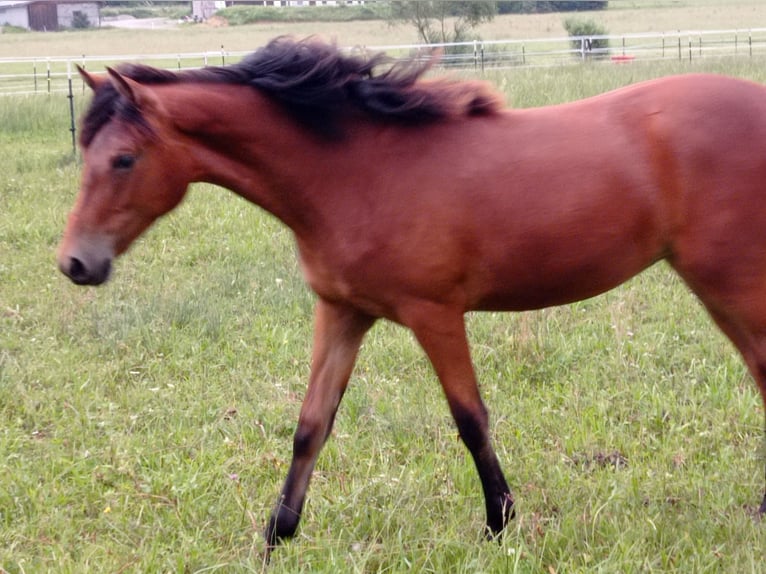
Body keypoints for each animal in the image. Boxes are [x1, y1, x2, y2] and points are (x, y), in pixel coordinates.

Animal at [58, 37, 766, 560]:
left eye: (123, 159)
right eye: (85, 152)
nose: (75, 263)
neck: (357, 172)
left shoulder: (435, 315)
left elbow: (470, 420)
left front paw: (499, 526)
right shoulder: (342, 313)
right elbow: (311, 427)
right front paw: (274, 538)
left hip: (731, 284)